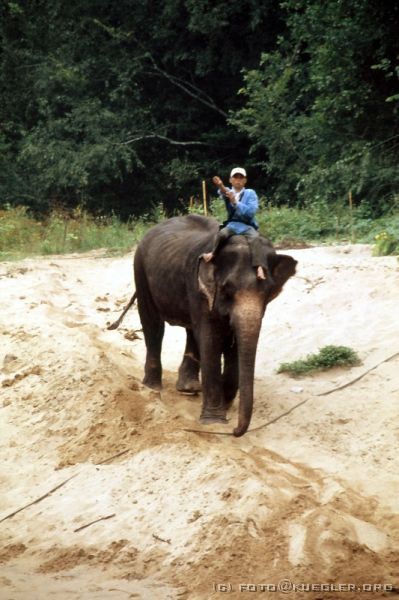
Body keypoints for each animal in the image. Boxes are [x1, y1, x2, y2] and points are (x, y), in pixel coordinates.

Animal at [109, 216, 296, 436]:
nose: (235, 431)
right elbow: (211, 338)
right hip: (140, 270)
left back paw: (189, 388)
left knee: (190, 330)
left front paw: (225, 407)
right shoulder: (198, 287)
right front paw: (215, 421)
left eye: (268, 292)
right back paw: (152, 388)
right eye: (226, 289)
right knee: (153, 325)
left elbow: (232, 343)